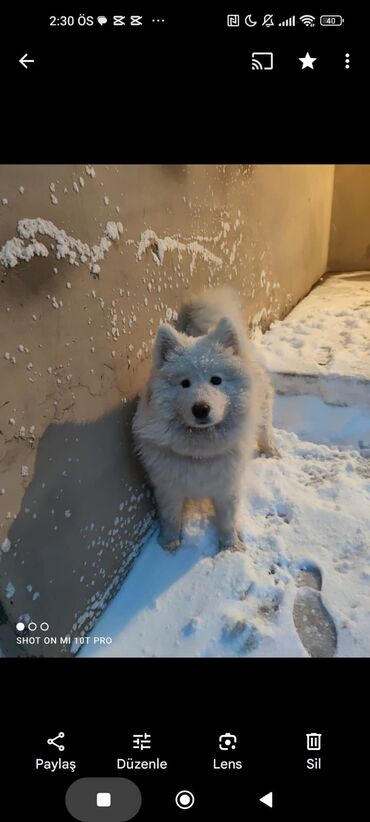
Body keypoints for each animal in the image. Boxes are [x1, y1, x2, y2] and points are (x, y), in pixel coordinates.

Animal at [132, 290, 278, 552]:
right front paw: (169, 545)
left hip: (263, 414)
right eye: (185, 383)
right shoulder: (168, 488)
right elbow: (171, 517)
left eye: (216, 380)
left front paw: (230, 548)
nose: (201, 409)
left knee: (265, 432)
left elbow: (227, 521)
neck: (199, 453)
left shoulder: (226, 489)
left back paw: (271, 451)